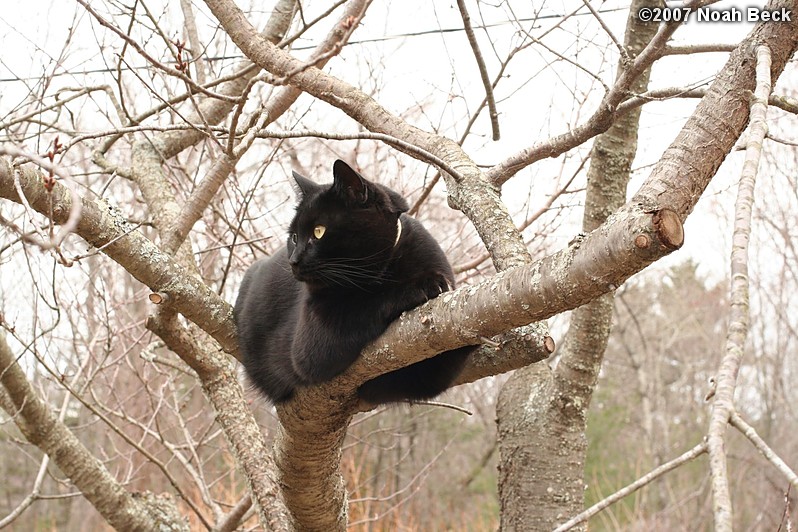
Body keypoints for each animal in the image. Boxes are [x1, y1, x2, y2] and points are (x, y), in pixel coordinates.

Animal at [236, 160, 476, 406]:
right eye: (294, 237)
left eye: (318, 231)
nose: (293, 261)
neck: (381, 272)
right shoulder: (312, 343)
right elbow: (368, 303)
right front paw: (424, 285)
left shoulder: (425, 377)